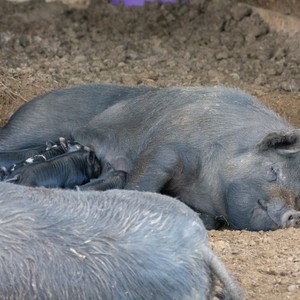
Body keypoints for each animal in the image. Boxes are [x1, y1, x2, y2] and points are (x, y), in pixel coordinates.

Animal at [0, 84, 300, 230]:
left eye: (298, 194)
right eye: (273, 170)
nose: (292, 214)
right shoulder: (167, 146)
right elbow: (143, 180)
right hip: (25, 128)